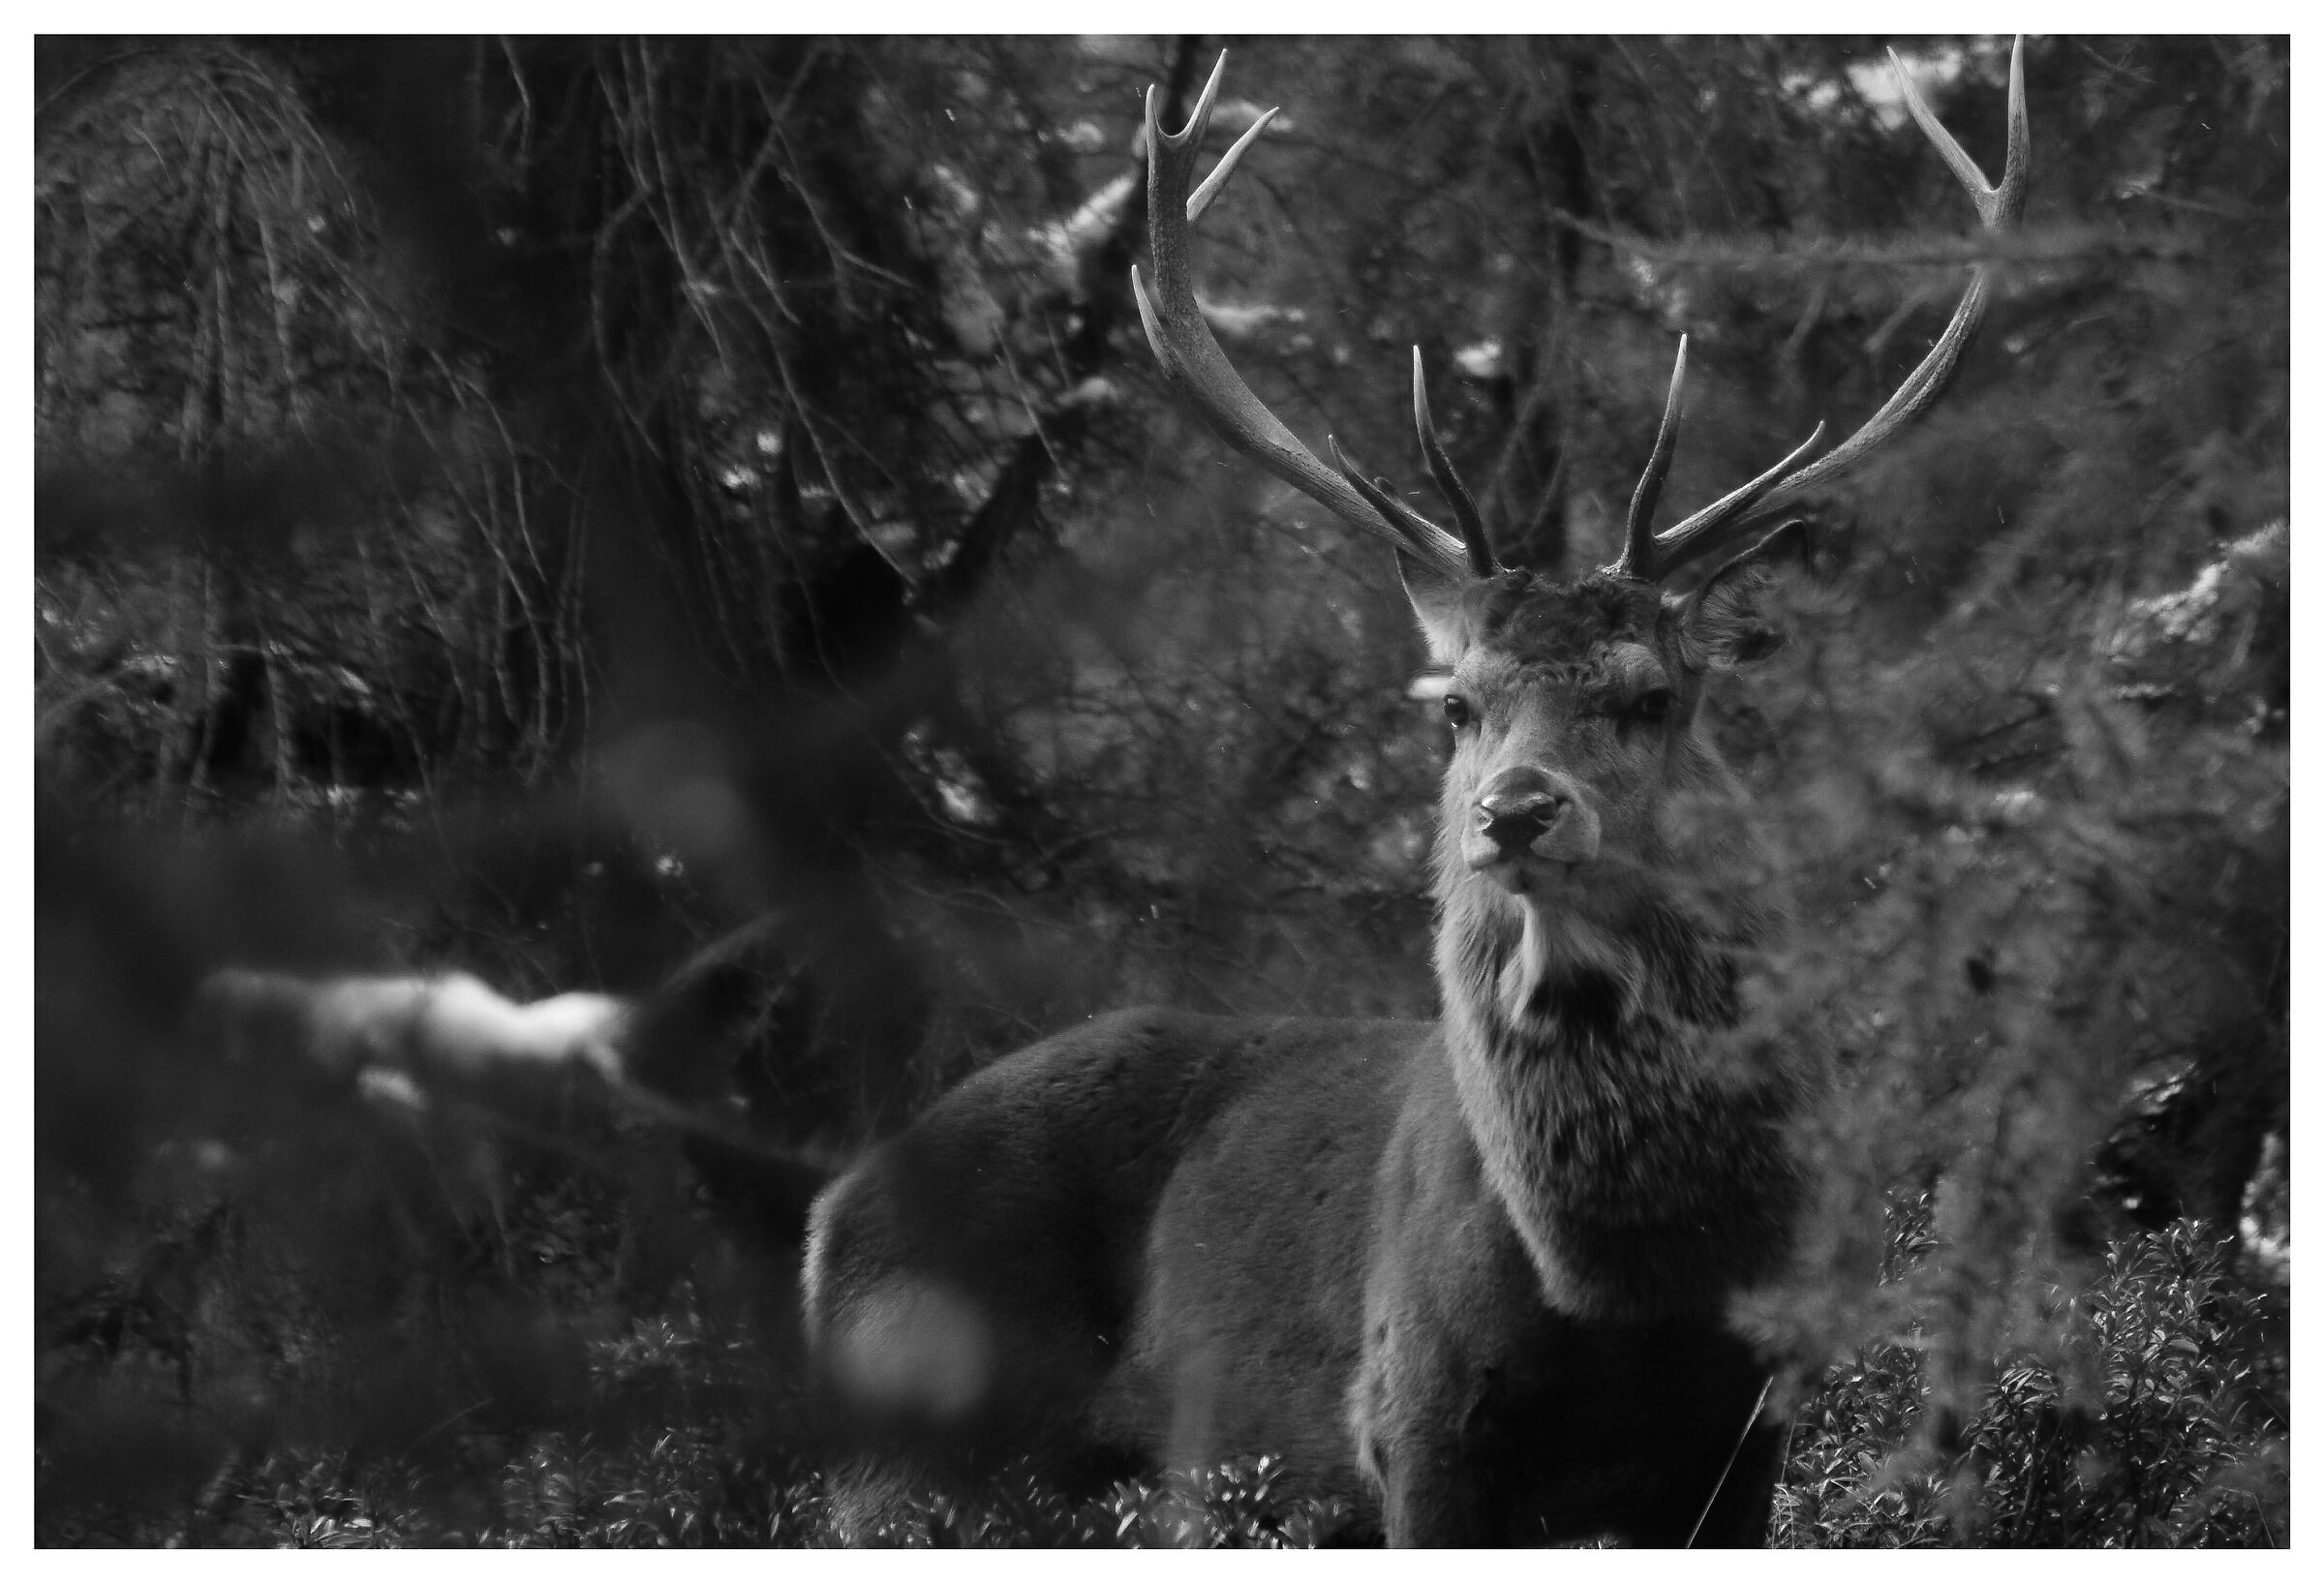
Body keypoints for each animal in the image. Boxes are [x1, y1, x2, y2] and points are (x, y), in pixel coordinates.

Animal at [803, 42, 2029, 1546]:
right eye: (1457, 702)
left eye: (1652, 695)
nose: (1517, 811)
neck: (1627, 1298)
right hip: (914, 1445)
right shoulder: (1416, 1423)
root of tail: (829, 1217)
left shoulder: (1748, 1433)